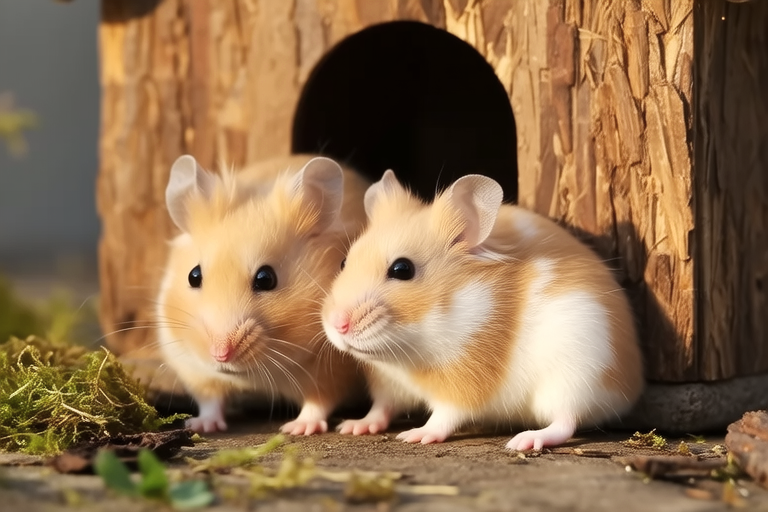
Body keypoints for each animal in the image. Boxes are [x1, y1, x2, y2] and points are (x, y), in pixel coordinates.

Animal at [156, 154, 369, 434]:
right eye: (194, 276)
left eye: (266, 278)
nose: (220, 354)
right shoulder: (192, 366)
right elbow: (210, 399)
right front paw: (202, 426)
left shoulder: (332, 369)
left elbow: (318, 401)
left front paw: (296, 428)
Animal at [321, 170, 644, 451]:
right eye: (343, 262)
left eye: (402, 269)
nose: (338, 325)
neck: (407, 353)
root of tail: (631, 388)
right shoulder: (388, 382)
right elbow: (381, 407)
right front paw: (352, 426)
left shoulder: (466, 380)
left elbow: (444, 415)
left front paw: (414, 435)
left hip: (574, 376)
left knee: (565, 421)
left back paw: (524, 440)